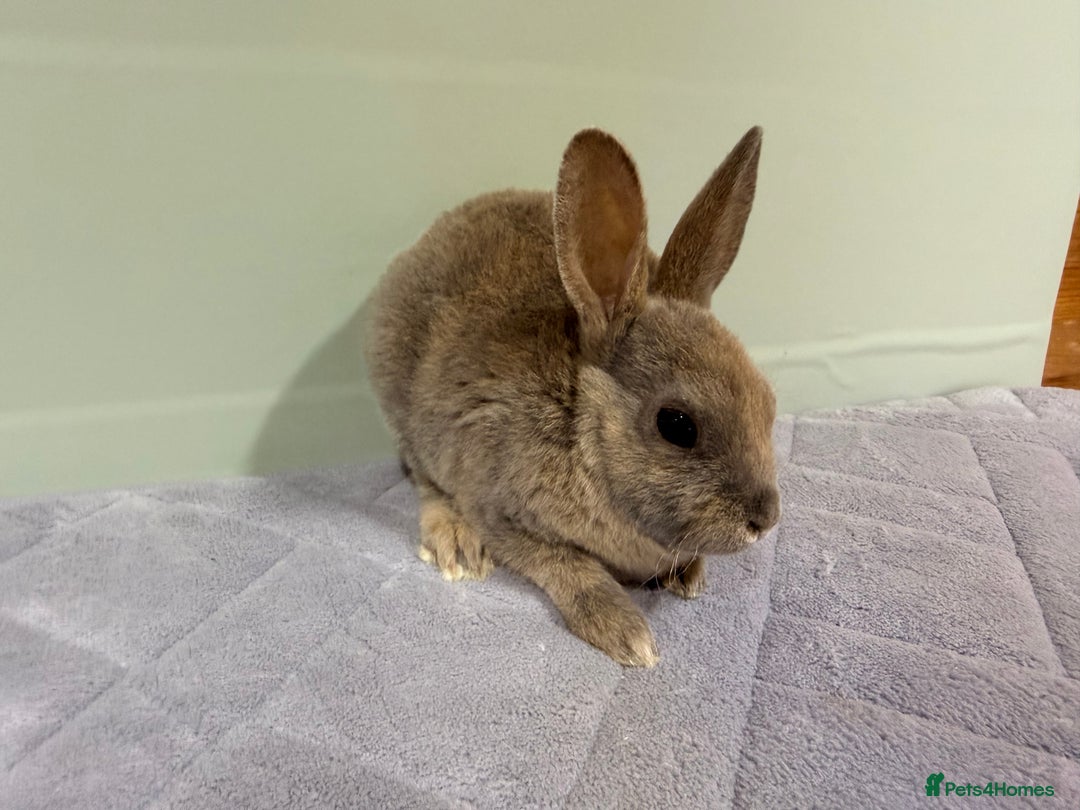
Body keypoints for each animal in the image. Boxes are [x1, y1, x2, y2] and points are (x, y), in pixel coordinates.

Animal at [365, 126, 779, 667]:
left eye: (769, 402)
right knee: (422, 477)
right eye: (677, 425)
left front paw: (689, 575)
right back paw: (456, 545)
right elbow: (569, 568)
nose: (765, 520)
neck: (582, 430)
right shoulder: (500, 510)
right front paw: (627, 634)